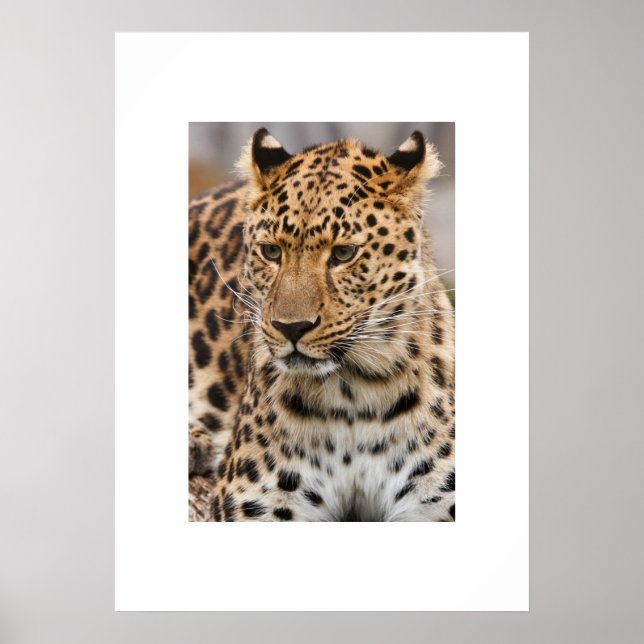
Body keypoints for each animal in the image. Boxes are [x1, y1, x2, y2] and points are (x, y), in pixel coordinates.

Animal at [188, 127, 455, 522]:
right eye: (271, 251)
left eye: (344, 254)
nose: (291, 328)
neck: (352, 398)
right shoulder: (257, 503)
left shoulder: (435, 503)